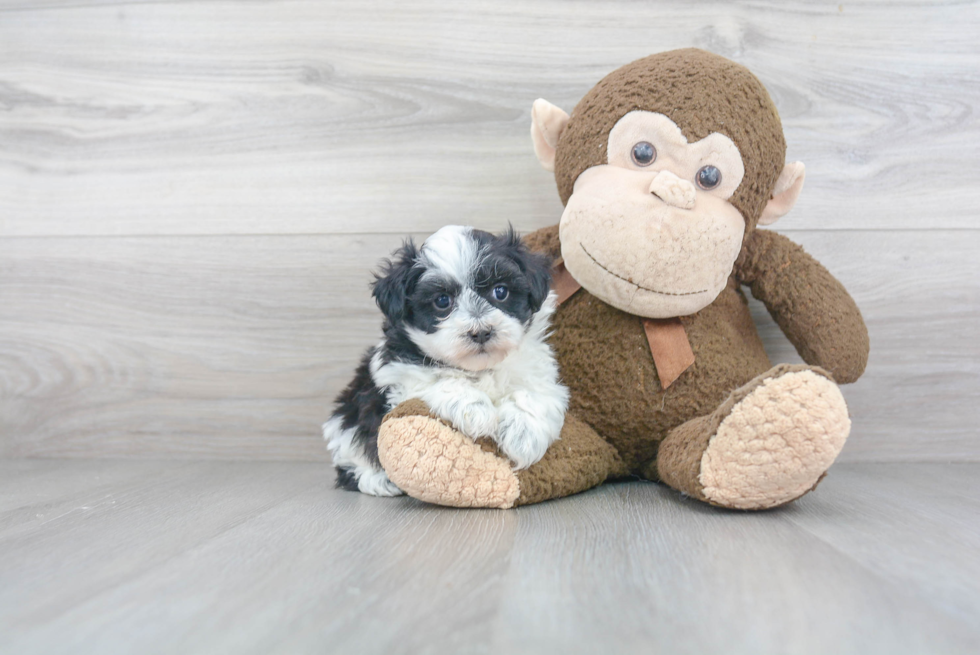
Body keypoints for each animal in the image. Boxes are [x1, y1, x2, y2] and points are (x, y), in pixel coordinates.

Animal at [324, 227, 568, 498]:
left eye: (501, 291)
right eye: (442, 301)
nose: (481, 332)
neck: (481, 368)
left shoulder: (539, 371)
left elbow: (531, 394)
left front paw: (523, 434)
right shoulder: (398, 376)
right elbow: (440, 379)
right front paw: (475, 408)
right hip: (344, 428)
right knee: (350, 465)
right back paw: (379, 481)